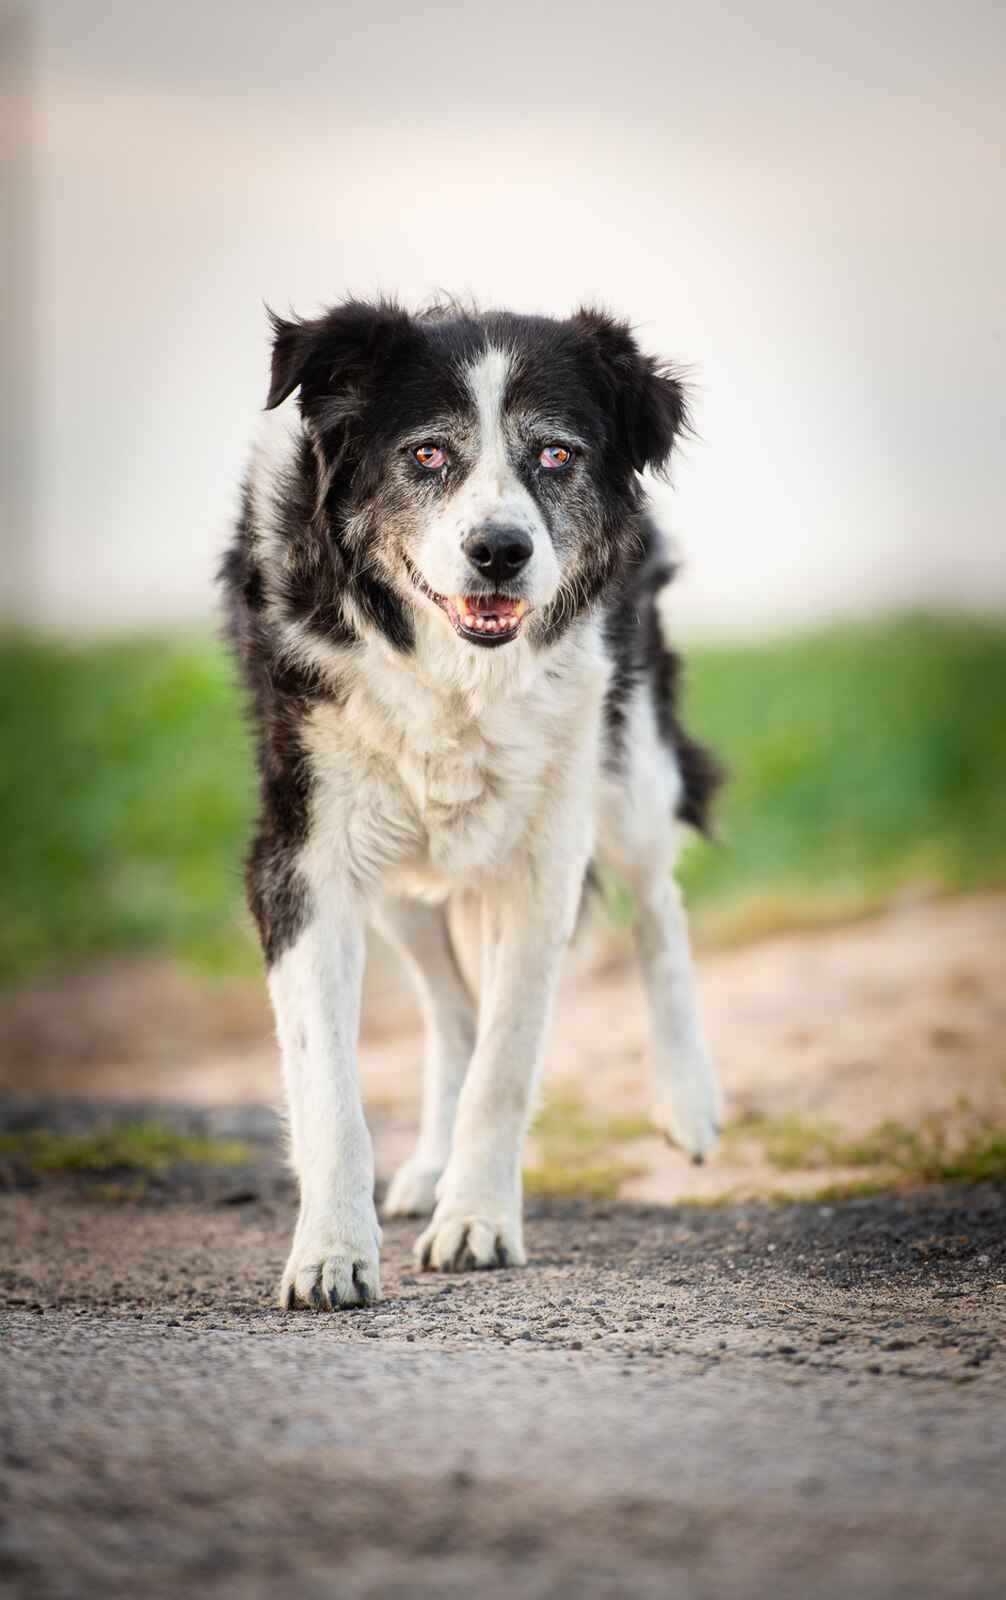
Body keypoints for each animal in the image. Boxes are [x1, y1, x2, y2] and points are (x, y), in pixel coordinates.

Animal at [219, 294, 722, 1305]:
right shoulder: (303, 859)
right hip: (403, 880)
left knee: (658, 903)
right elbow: (329, 1083)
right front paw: (331, 1251)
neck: (454, 674)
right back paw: (425, 1169)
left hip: (628, 769)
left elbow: (507, 1059)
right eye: (426, 455)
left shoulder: (542, 862)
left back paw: (685, 1100)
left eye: (557, 455)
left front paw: (479, 1221)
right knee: (450, 1006)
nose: (499, 550)